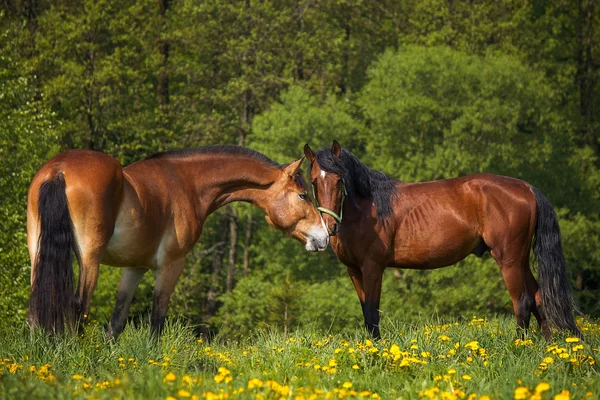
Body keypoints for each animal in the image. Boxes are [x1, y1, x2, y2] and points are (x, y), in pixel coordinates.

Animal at [27, 145, 328, 336]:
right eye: (303, 195)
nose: (325, 235)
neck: (187, 183)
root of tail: (58, 171)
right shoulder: (172, 265)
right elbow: (157, 320)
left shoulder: (134, 268)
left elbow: (116, 322)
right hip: (90, 258)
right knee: (78, 308)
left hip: (37, 254)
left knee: (36, 309)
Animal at [304, 141, 580, 340]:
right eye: (314, 181)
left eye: (340, 180)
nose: (330, 227)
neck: (369, 207)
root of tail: (527, 188)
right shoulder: (354, 270)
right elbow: (365, 312)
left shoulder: (373, 267)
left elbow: (372, 313)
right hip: (521, 260)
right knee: (539, 298)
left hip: (509, 260)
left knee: (522, 302)